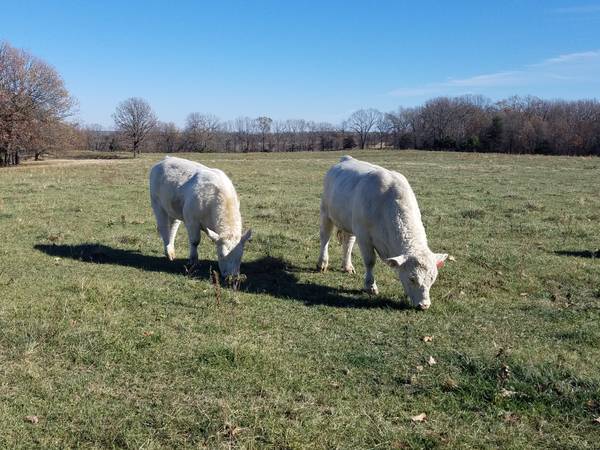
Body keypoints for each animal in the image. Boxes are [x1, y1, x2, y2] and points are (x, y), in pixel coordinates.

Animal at [316, 156, 448, 310]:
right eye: (412, 278)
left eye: (432, 278)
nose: (424, 305)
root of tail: (346, 158)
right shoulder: (364, 236)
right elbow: (370, 261)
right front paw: (370, 286)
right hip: (326, 213)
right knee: (325, 237)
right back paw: (322, 263)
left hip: (350, 223)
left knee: (348, 243)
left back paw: (347, 266)